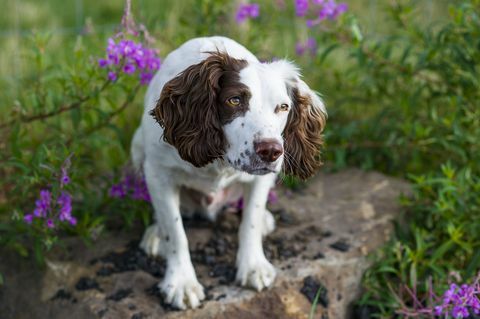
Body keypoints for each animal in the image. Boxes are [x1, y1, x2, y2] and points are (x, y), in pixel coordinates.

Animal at [130, 35, 326, 310]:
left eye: (283, 107)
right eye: (234, 100)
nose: (271, 151)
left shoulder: (262, 178)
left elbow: (250, 220)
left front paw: (253, 266)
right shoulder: (158, 172)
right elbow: (175, 231)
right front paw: (181, 282)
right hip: (137, 147)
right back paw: (156, 233)